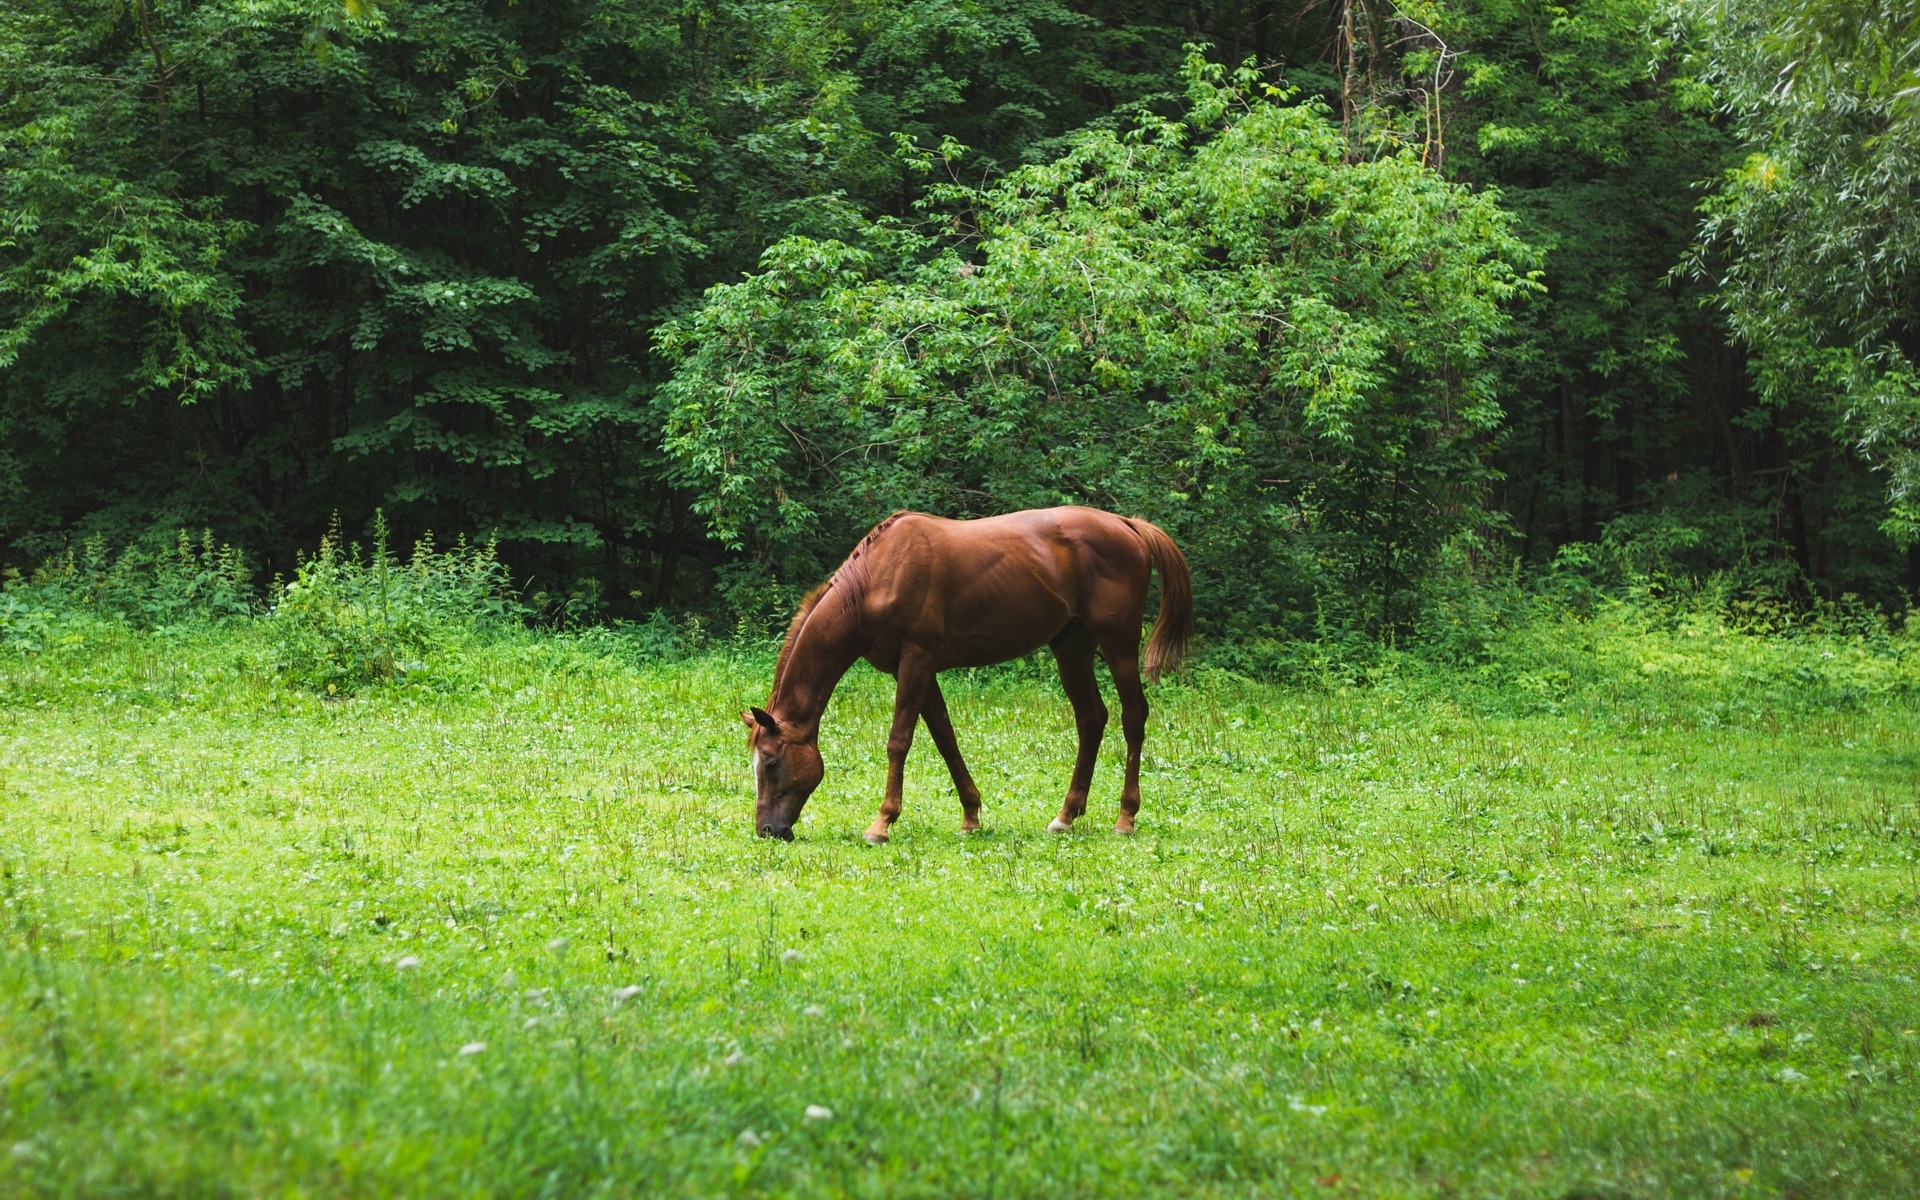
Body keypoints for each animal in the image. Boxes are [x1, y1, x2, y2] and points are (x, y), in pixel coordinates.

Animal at [741, 506, 1190, 840]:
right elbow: (945, 737)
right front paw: (971, 815)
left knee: (1133, 717)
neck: (877, 577)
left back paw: (1125, 817)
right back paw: (1065, 815)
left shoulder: (917, 660)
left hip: (1119, 645)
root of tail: (1127, 525)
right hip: (1072, 646)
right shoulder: (917, 670)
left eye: (771, 763)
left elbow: (899, 740)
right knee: (1092, 718)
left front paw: (881, 823)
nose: (767, 830)